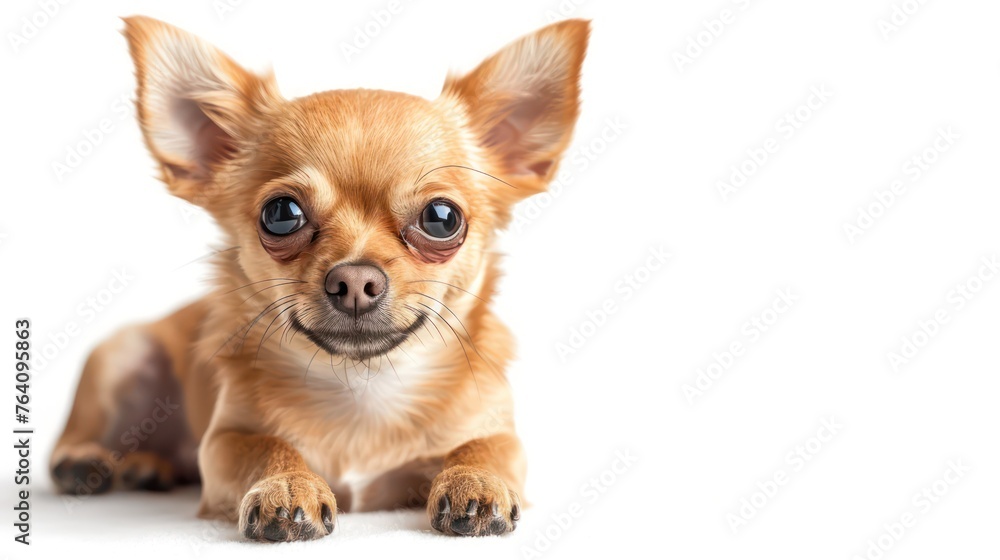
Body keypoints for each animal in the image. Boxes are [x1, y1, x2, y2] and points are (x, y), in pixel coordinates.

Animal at [48, 16, 584, 544]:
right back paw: (85, 461)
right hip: (123, 352)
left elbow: (485, 447)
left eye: (441, 218)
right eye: (282, 214)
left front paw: (475, 479)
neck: (362, 389)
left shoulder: (501, 434)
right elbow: (266, 445)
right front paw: (287, 484)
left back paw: (148, 465)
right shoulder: (222, 443)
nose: (355, 280)